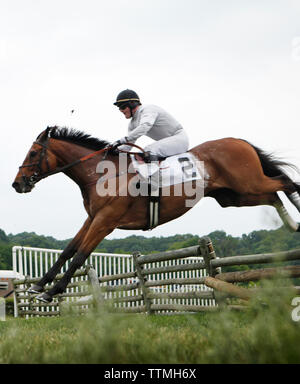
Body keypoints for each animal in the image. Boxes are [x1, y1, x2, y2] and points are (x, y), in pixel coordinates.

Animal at [11, 126, 300, 304]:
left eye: (33, 152)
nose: (17, 184)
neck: (102, 173)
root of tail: (239, 141)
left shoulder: (106, 222)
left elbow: (80, 255)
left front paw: (51, 293)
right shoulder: (92, 218)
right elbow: (67, 251)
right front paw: (38, 287)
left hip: (249, 184)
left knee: (287, 182)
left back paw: (296, 223)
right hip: (234, 196)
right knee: (275, 194)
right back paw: (292, 225)